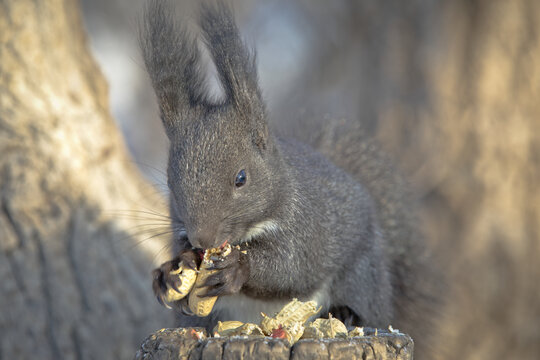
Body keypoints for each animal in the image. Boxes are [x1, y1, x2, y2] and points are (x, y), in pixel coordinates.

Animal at [139, 0, 438, 352]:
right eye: (170, 182)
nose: (204, 240)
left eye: (241, 178)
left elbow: (291, 267)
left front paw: (238, 268)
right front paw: (170, 272)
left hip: (362, 272)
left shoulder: (306, 226)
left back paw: (346, 314)